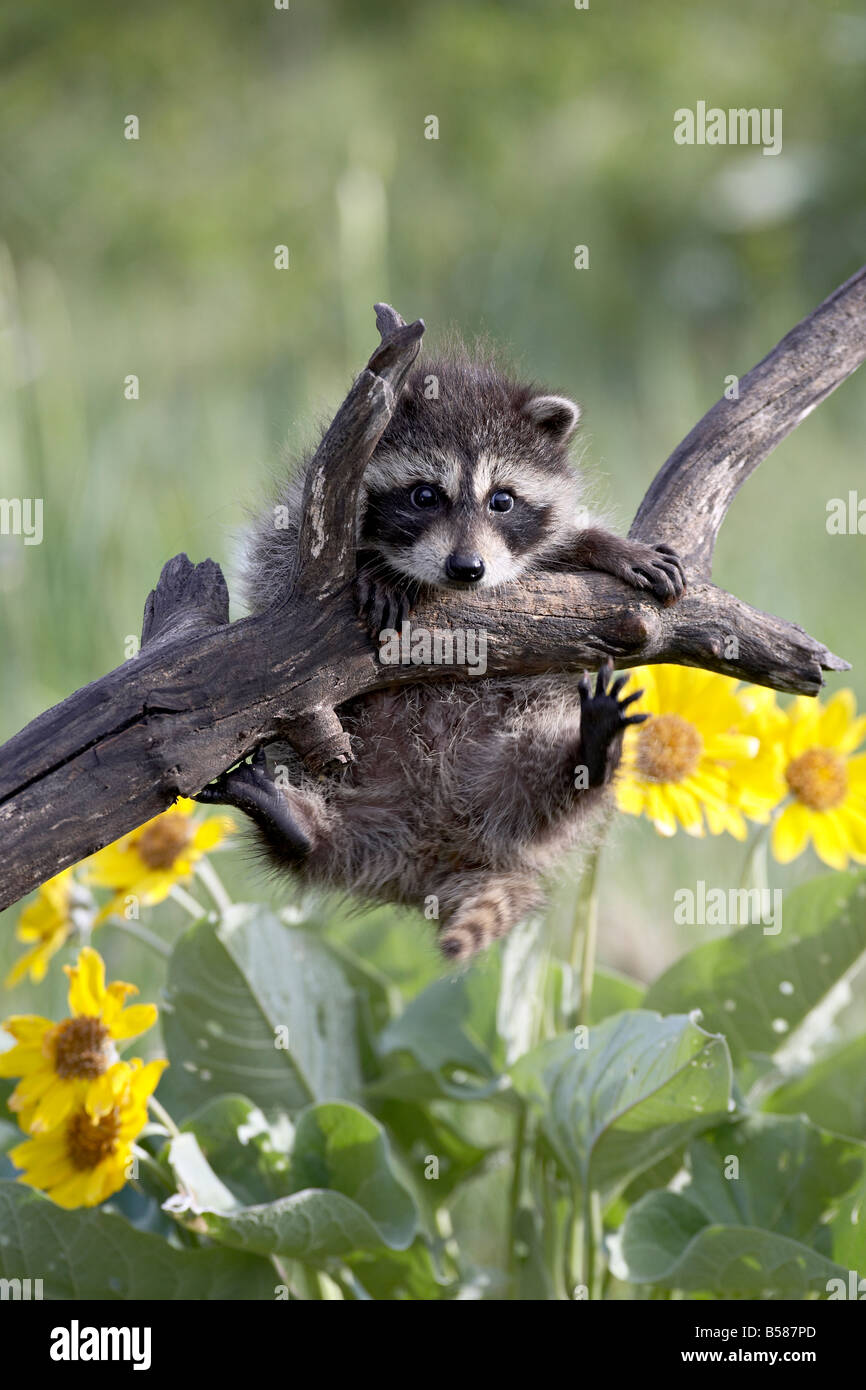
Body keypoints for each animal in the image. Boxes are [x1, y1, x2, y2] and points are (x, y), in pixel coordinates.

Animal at [200, 350, 686, 956]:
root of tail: (433, 854)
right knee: (309, 834)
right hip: (342, 785)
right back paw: (292, 823)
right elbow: (278, 565)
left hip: (510, 777)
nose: (467, 568)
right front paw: (378, 570)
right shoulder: (298, 528)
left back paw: (593, 751)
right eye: (425, 495)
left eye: (502, 500)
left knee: (557, 788)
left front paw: (605, 545)